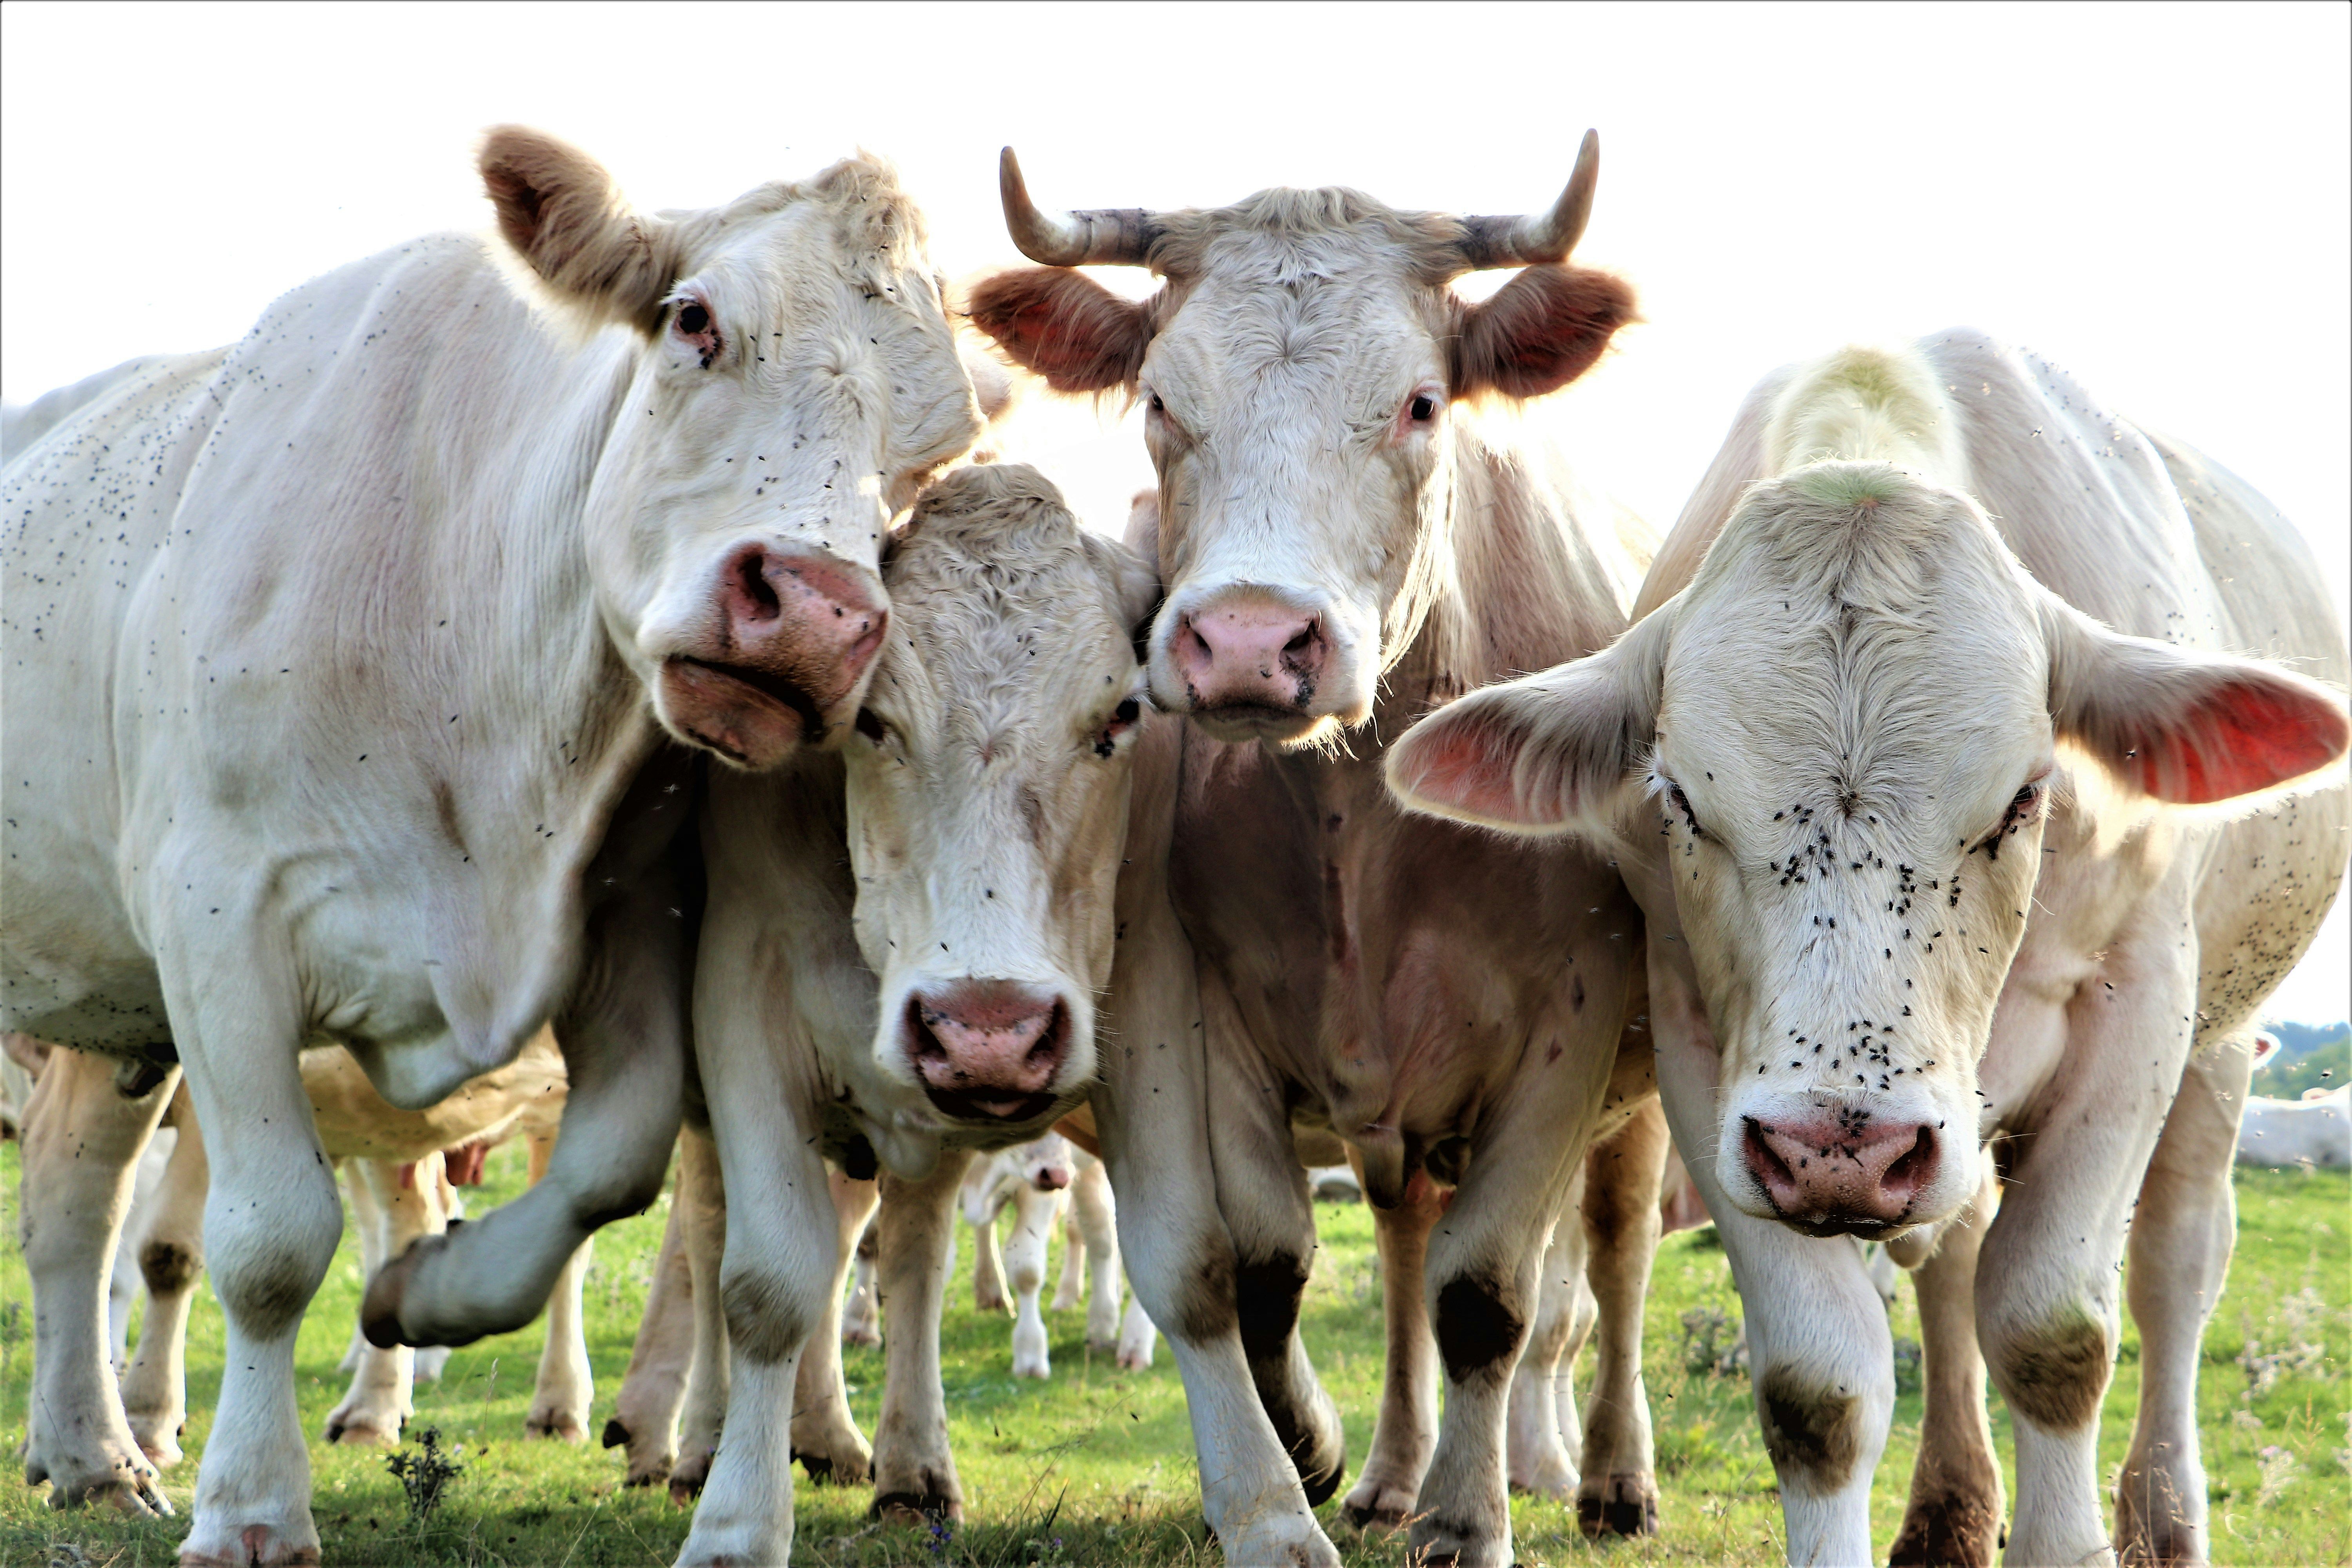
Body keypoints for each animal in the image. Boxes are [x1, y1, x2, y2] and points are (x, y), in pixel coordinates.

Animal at [0, 124, 984, 1563]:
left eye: (941, 445)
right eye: (696, 321)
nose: (812, 619)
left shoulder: (624, 915)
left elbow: (611, 1163)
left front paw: (430, 1291)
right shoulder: (217, 916)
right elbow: (272, 1238)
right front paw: (254, 1502)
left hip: (106, 996)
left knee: (74, 1194)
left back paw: (90, 1457)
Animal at [963, 135, 1667, 1568]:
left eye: (1419, 404)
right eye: (1162, 403)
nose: (1246, 642)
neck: (1365, 814)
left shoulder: (1570, 1031)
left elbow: (1492, 1290)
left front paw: (1468, 1517)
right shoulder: (1208, 1011)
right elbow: (1265, 1266)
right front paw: (1314, 1454)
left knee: (1614, 1256)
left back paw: (1611, 1476)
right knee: (1399, 1248)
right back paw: (1391, 1469)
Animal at [1386, 329, 2350, 1564]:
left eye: (2025, 798)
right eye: (1678, 798)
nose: (1840, 1151)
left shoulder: (2138, 1008)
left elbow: (2053, 1333)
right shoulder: (1707, 1056)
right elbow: (1821, 1388)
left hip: (2216, 1048)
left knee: (2177, 1271)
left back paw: (2163, 1516)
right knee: (1955, 1261)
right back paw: (1952, 1507)